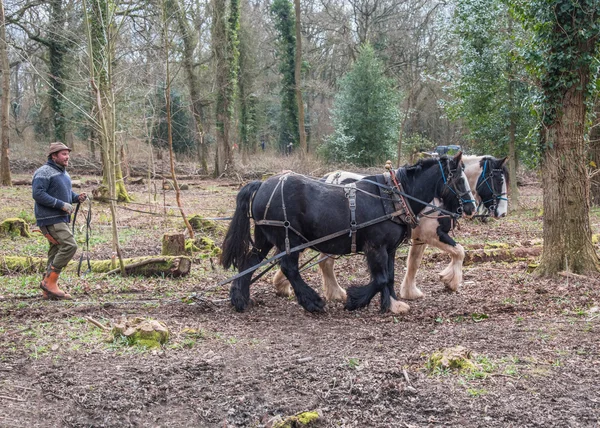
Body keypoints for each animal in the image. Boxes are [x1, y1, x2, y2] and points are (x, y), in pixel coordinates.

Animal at [219, 155, 474, 314]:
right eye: (460, 180)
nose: (470, 208)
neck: (394, 197)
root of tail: (262, 184)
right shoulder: (375, 247)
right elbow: (381, 278)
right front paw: (355, 299)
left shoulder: (389, 248)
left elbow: (389, 276)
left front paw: (391, 304)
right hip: (288, 239)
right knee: (289, 268)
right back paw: (312, 301)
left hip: (265, 237)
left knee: (249, 261)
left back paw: (240, 299)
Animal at [274, 155, 508, 302]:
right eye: (497, 179)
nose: (502, 212)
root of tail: (328, 177)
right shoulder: (432, 234)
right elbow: (459, 251)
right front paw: (450, 281)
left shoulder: (419, 237)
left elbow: (414, 262)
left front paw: (409, 291)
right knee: (322, 263)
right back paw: (331, 292)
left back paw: (286, 285)